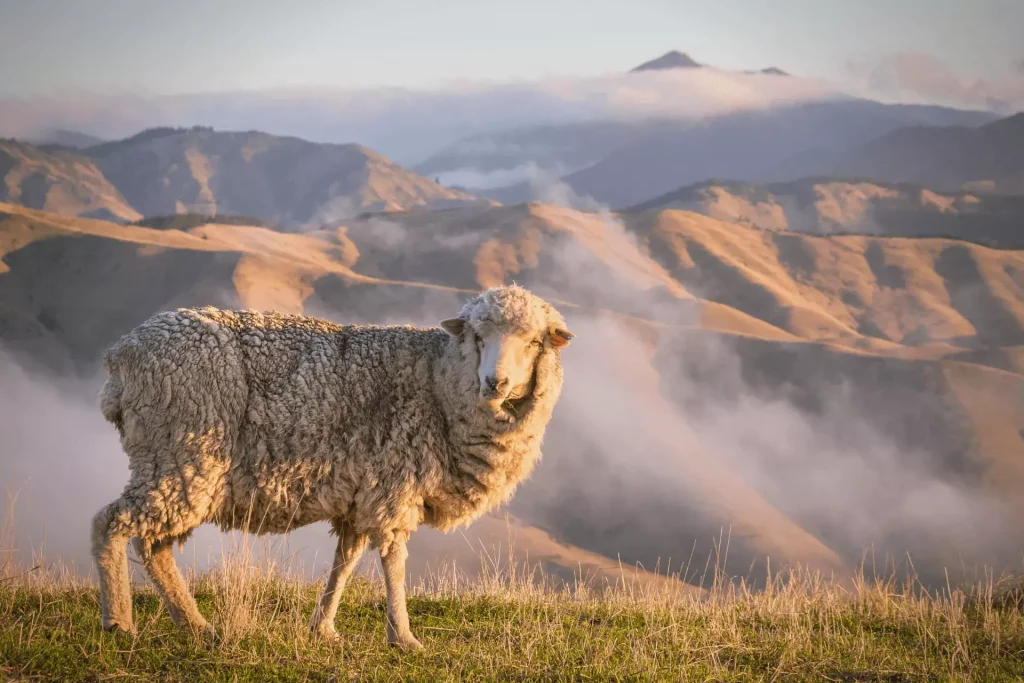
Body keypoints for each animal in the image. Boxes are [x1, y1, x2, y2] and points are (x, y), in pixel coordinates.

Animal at [91, 286, 577, 651]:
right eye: (477, 336)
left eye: (534, 342)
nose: (496, 383)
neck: (439, 382)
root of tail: (119, 358)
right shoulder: (394, 485)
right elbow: (393, 561)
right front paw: (403, 637)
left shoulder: (362, 493)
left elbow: (345, 562)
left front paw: (323, 627)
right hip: (182, 454)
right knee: (110, 522)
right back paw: (119, 620)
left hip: (177, 466)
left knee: (154, 546)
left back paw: (195, 625)